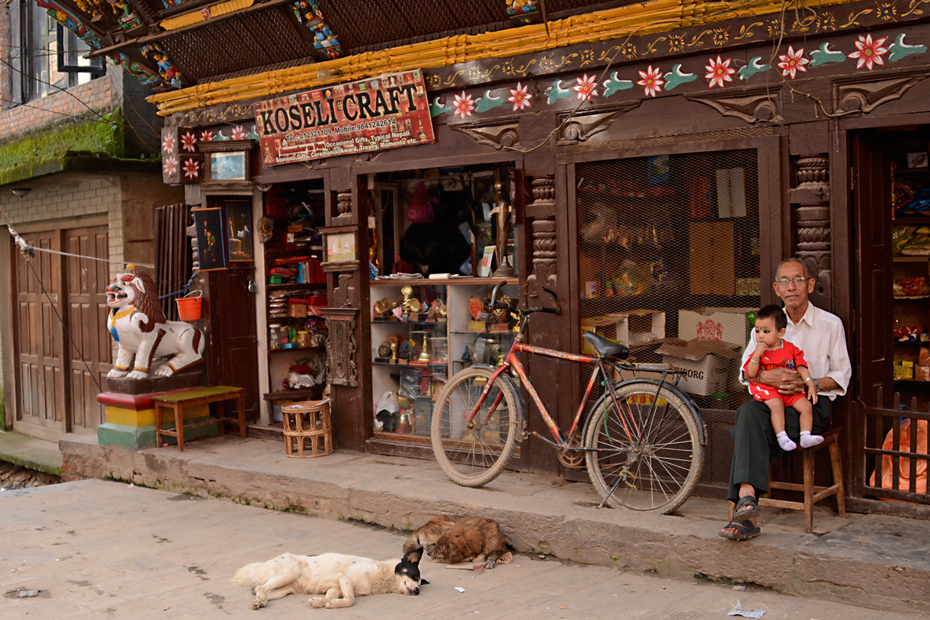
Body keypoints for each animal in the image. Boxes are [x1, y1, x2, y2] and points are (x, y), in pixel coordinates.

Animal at [232, 548, 424, 612]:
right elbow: (350, 600)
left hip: (284, 590)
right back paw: (259, 601)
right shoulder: (345, 578)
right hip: (289, 572)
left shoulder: (337, 588)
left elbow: (330, 597)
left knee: (260, 590)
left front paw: (321, 602)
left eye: (420, 583)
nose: (417, 591)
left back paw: (259, 602)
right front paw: (330, 604)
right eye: (415, 576)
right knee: (260, 588)